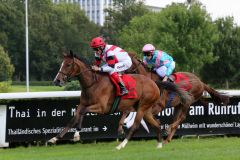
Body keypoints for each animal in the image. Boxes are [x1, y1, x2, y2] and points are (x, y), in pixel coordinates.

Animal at [48, 51, 188, 149]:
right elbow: (74, 117)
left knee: (135, 126)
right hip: (146, 109)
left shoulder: (102, 107)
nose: (57, 81)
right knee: (157, 124)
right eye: (62, 64)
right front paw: (56, 138)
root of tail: (154, 83)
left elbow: (82, 113)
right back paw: (159, 144)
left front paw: (76, 135)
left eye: (68, 64)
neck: (92, 83)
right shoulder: (83, 104)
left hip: (143, 107)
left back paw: (121, 145)